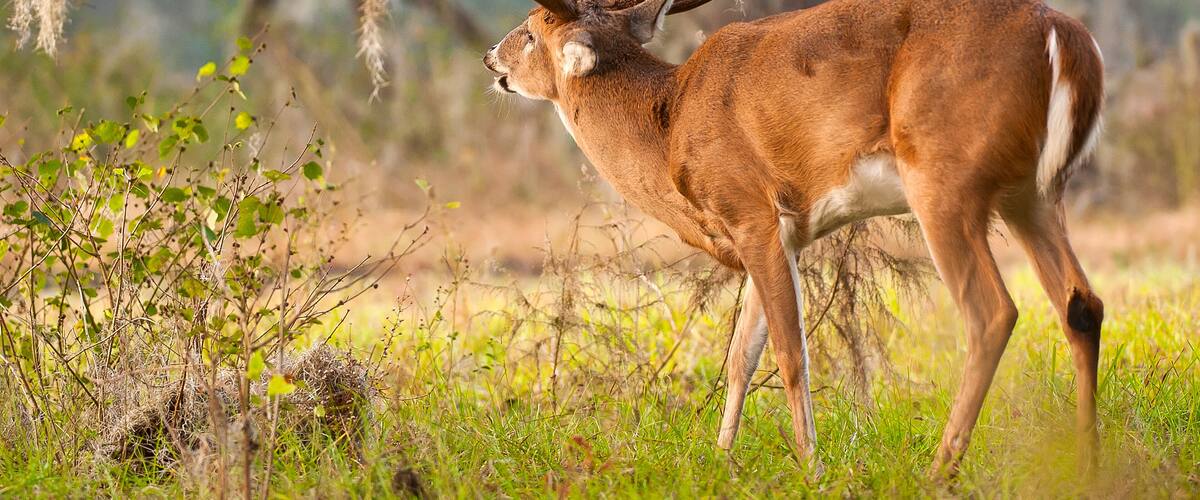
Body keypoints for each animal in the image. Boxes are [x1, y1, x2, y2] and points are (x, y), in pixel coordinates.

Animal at [484, 0, 1105, 477]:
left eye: (531, 31)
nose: (491, 57)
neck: (669, 123)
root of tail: (1066, 36)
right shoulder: (782, 235)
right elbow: (741, 354)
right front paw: (720, 459)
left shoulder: (750, 210)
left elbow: (788, 351)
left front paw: (812, 466)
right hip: (1032, 194)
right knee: (1082, 303)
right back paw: (1086, 462)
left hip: (944, 176)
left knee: (993, 311)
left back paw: (939, 471)